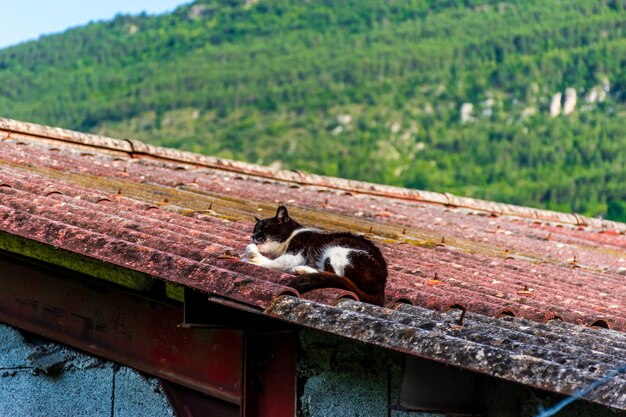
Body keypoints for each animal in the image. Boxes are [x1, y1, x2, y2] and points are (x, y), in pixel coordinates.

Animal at [243, 206, 386, 306]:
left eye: (264, 230)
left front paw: (251, 258)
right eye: (254, 230)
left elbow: (274, 263)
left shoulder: (297, 253)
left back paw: (301, 270)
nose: (254, 236)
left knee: (334, 274)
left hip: (339, 249)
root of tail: (381, 286)